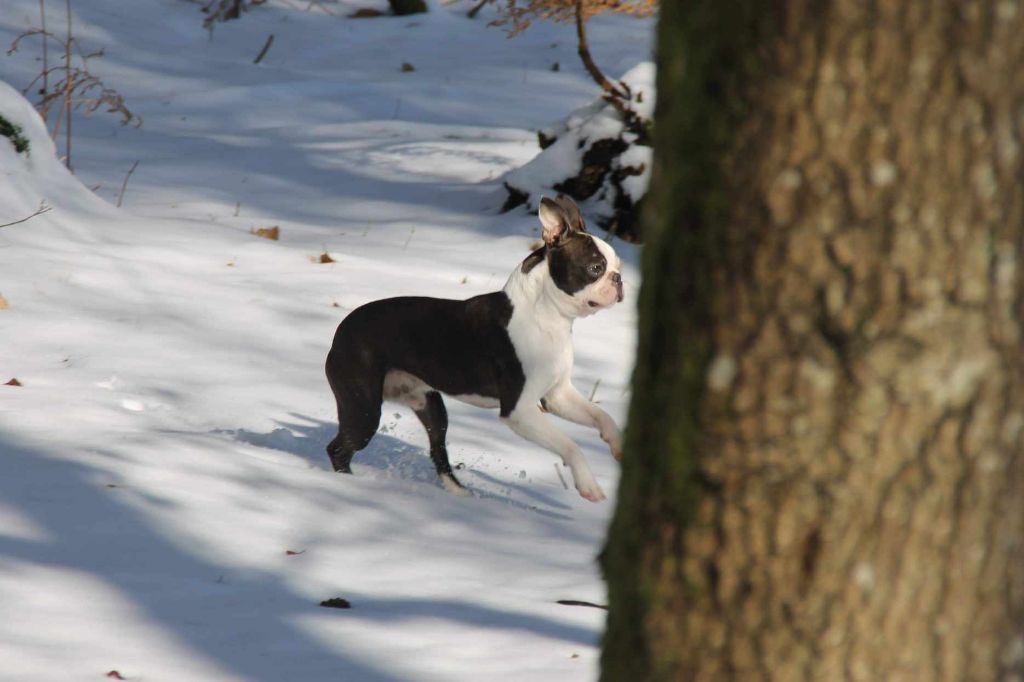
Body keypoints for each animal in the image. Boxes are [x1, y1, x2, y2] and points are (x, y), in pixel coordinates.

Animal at [323, 195, 622, 499]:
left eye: (616, 266)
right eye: (596, 268)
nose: (619, 279)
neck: (546, 315)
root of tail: (341, 331)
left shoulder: (558, 394)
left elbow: (602, 415)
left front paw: (617, 443)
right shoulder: (519, 411)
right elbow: (570, 445)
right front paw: (588, 485)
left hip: (430, 405)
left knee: (437, 449)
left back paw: (458, 493)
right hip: (364, 410)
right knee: (338, 448)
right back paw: (346, 483)